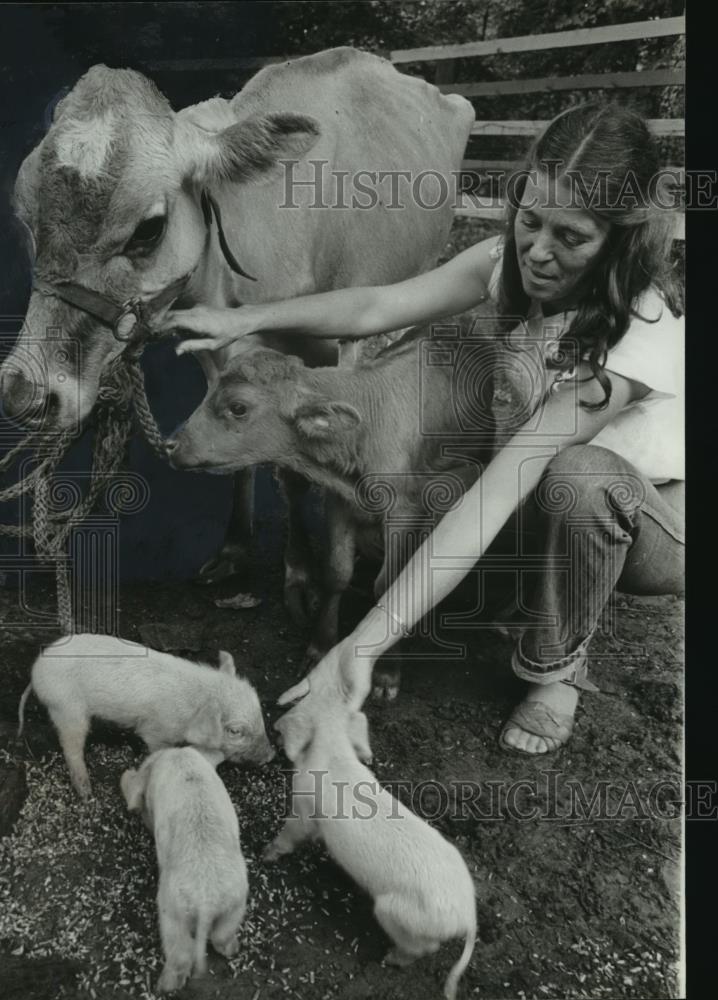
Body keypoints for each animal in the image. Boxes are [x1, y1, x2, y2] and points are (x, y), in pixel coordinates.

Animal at [1, 48, 478, 608]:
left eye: (148, 230)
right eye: (25, 219)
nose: (26, 391)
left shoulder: (352, 342)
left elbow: (298, 465)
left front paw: (302, 573)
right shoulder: (224, 346)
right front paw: (234, 551)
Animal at [167, 318, 500, 696]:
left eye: (238, 407)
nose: (170, 444)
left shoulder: (404, 510)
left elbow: (390, 585)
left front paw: (387, 672)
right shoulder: (339, 501)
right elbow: (336, 572)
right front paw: (321, 646)